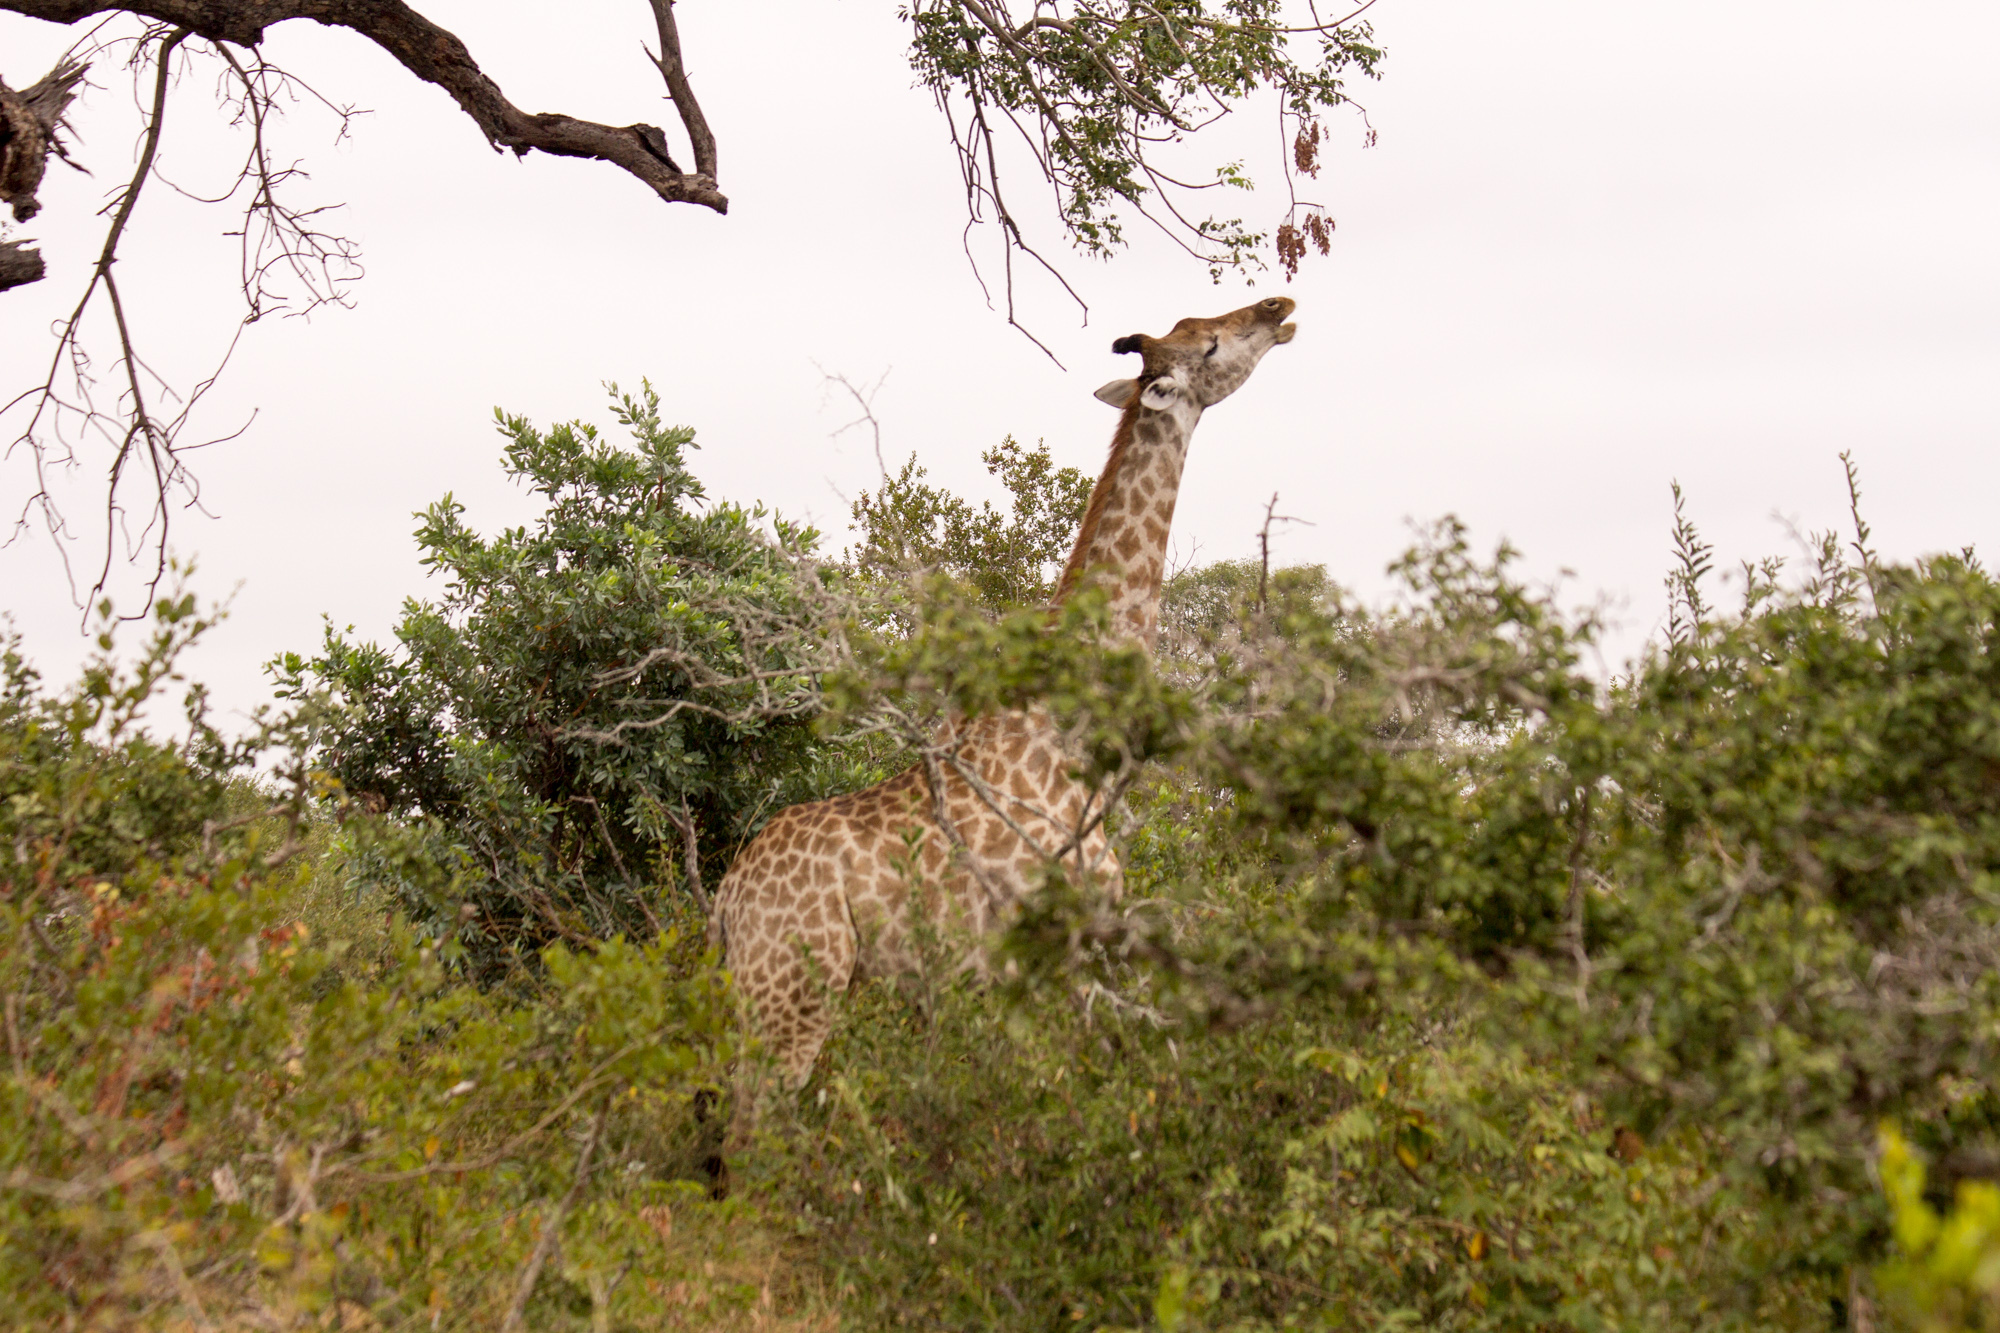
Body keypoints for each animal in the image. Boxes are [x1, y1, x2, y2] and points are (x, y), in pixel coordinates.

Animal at [712, 298, 1304, 1088]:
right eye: (1209, 344)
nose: (1278, 307)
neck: (1072, 741)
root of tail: (726, 901)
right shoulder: (1047, 952)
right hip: (794, 994)